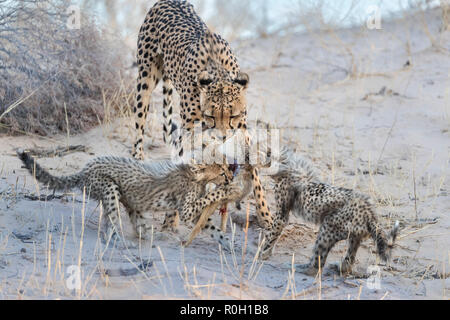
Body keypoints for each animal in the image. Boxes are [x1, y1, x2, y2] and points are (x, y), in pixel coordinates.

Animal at [132, 0, 274, 230]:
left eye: (233, 116)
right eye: (212, 116)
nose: (223, 136)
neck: (218, 71)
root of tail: (167, 1)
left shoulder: (241, 130)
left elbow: (252, 169)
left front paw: (266, 216)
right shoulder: (190, 129)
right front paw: (171, 220)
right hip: (145, 78)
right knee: (138, 127)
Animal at [262, 149, 400, 274]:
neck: (287, 164)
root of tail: (370, 213)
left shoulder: (282, 214)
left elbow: (272, 234)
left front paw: (262, 253)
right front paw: (265, 252)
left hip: (328, 227)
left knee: (317, 262)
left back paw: (299, 268)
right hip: (354, 236)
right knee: (349, 259)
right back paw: (339, 267)